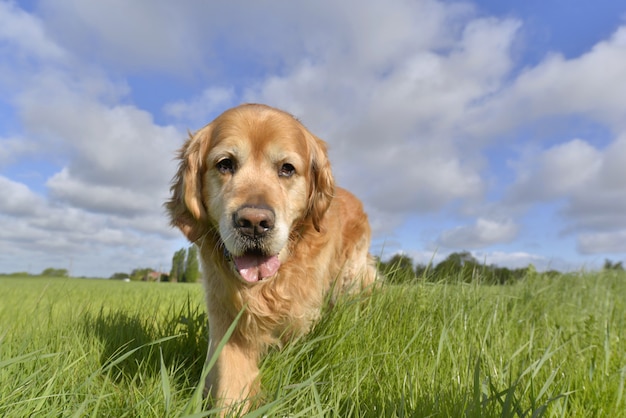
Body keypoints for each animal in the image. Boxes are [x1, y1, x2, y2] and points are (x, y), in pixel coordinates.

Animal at [166, 103, 376, 414]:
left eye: (287, 169)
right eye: (225, 164)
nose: (253, 223)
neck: (266, 287)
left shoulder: (301, 315)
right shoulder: (227, 319)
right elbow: (231, 384)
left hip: (351, 278)